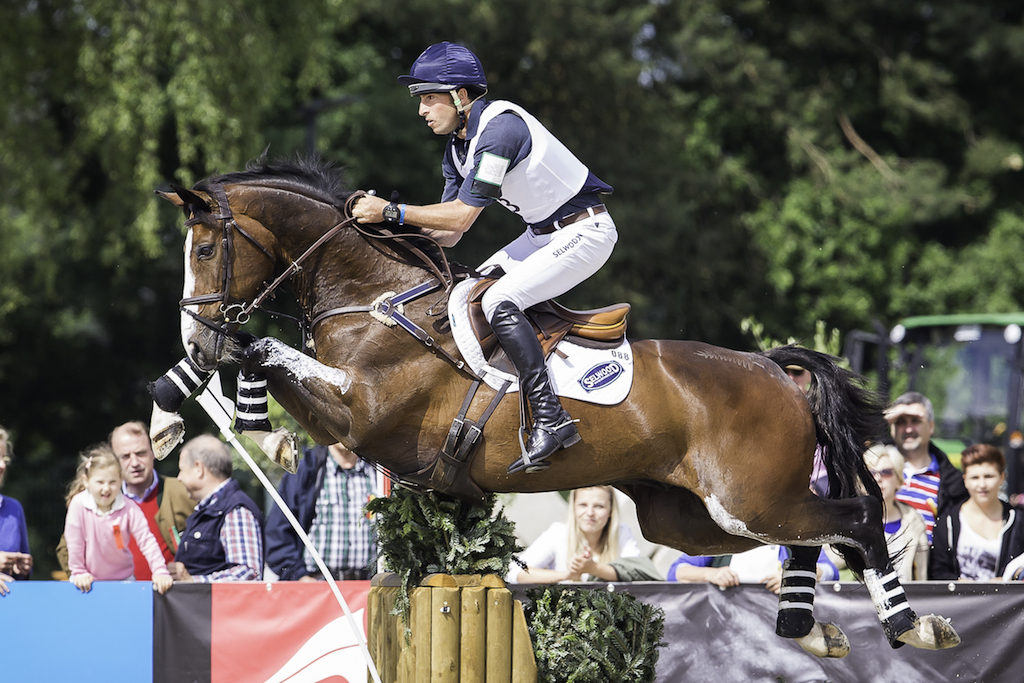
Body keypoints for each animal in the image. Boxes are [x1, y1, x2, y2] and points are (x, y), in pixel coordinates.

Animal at [153, 158, 958, 655]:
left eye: (204, 250)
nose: (194, 331)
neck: (374, 298)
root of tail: (775, 370)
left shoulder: (363, 415)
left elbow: (260, 348)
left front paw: (243, 407)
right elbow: (241, 356)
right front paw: (170, 408)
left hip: (747, 500)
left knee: (857, 516)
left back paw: (911, 626)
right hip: (692, 515)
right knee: (812, 533)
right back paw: (812, 631)